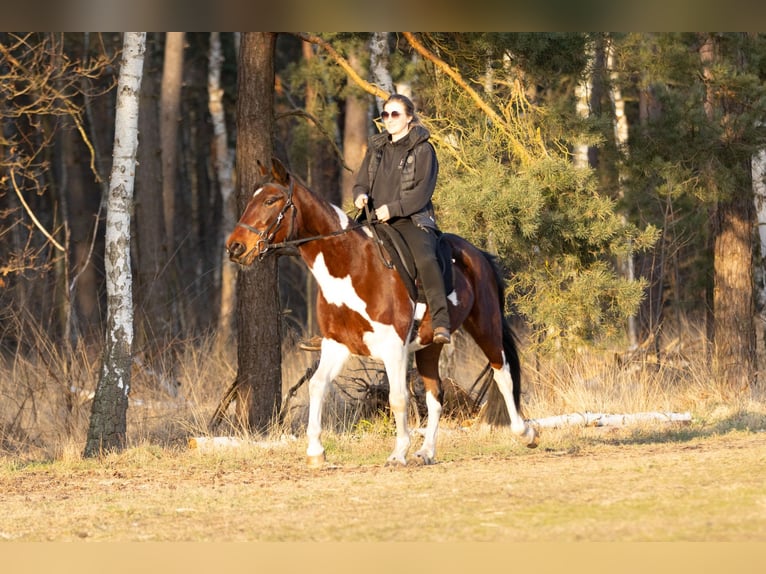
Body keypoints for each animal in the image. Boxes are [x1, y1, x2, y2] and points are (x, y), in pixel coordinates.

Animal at [228, 158, 540, 468]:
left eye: (270, 200)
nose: (234, 247)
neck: (352, 266)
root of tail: (477, 254)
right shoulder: (337, 344)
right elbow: (317, 385)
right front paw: (316, 452)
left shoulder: (393, 347)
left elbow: (398, 398)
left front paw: (398, 453)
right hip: (429, 346)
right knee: (435, 394)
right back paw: (426, 452)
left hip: (485, 324)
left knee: (502, 373)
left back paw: (526, 433)